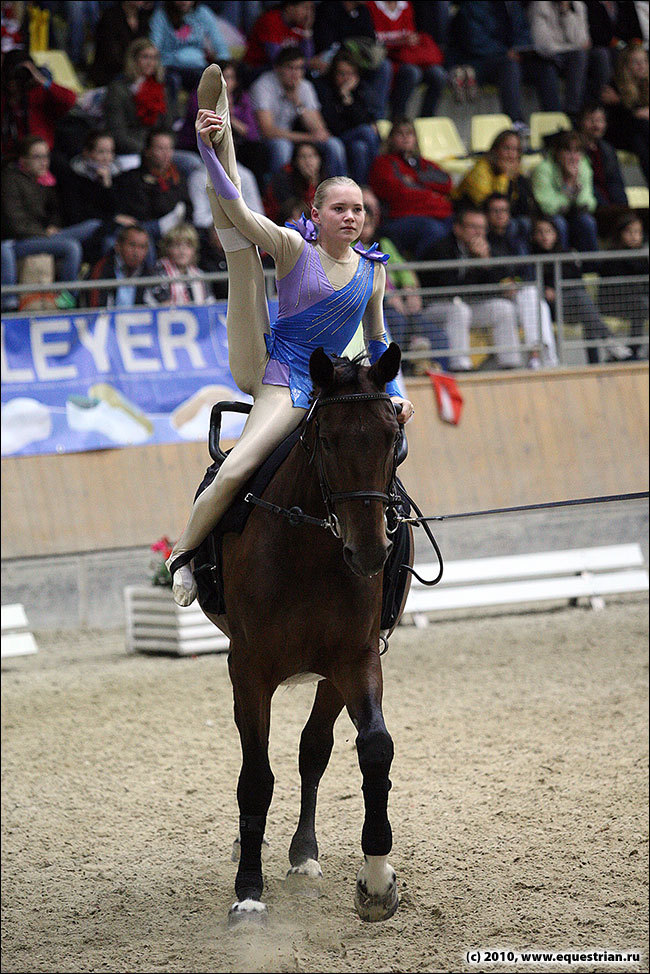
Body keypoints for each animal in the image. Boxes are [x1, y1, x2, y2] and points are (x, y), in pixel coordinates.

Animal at [204, 346, 404, 932]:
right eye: (327, 439)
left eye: (392, 437)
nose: (370, 553)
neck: (309, 551)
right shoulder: (249, 670)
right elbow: (255, 777)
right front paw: (248, 893)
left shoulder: (354, 660)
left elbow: (372, 749)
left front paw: (376, 881)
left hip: (328, 678)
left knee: (312, 750)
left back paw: (304, 854)